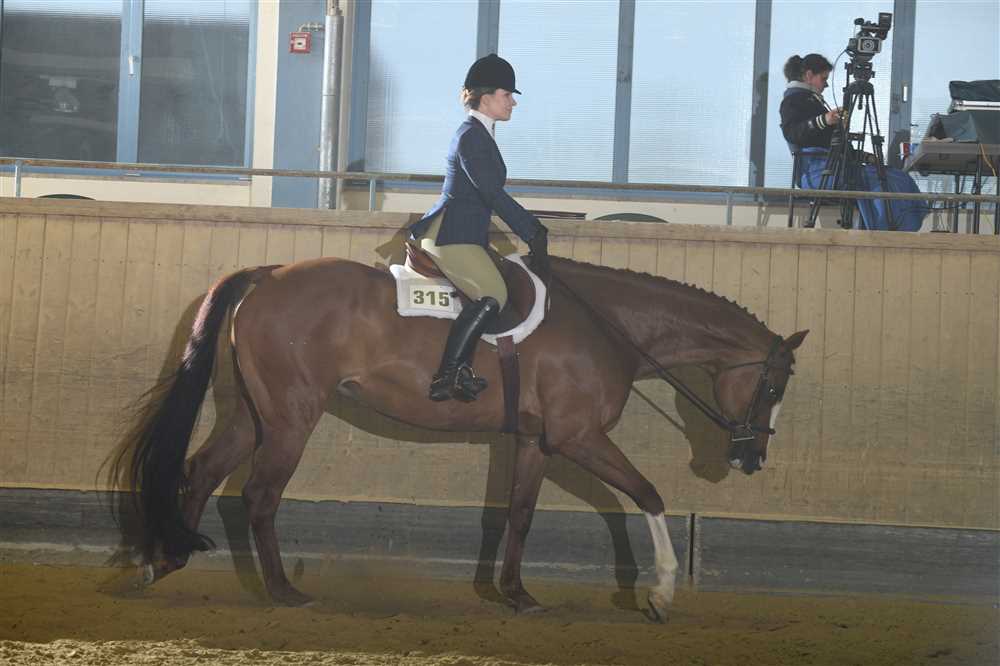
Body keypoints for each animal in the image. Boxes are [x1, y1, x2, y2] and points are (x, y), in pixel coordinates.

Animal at [116, 253, 807, 621]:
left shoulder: (535, 443)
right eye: (773, 386)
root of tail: (269, 274)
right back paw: (284, 591)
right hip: (291, 417)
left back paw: (165, 559)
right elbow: (650, 494)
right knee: (259, 495)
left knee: (203, 470)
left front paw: (517, 595)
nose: (753, 457)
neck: (610, 326)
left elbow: (520, 515)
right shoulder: (577, 437)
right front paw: (662, 593)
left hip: (252, 414)